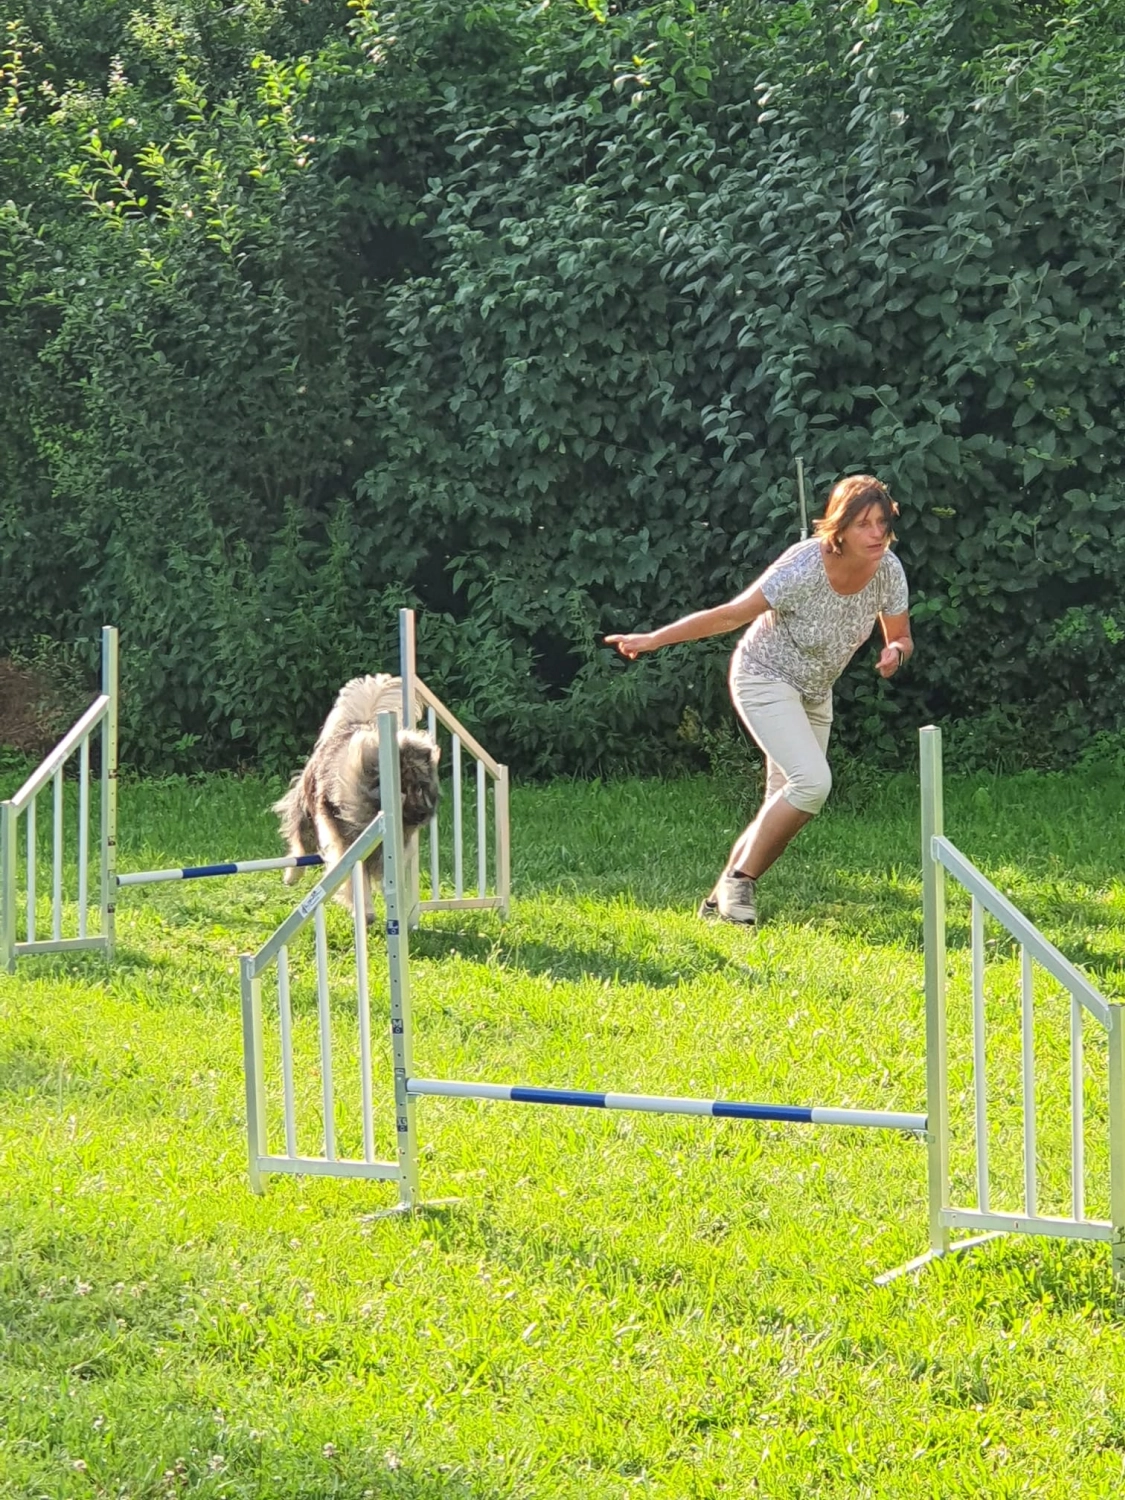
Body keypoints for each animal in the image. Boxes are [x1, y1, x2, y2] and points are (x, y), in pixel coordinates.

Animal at [276, 675, 444, 918]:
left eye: (420, 787)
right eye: (402, 790)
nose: (422, 815)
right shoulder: (344, 840)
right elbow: (356, 877)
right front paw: (366, 911)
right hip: (306, 812)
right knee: (299, 843)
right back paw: (291, 876)